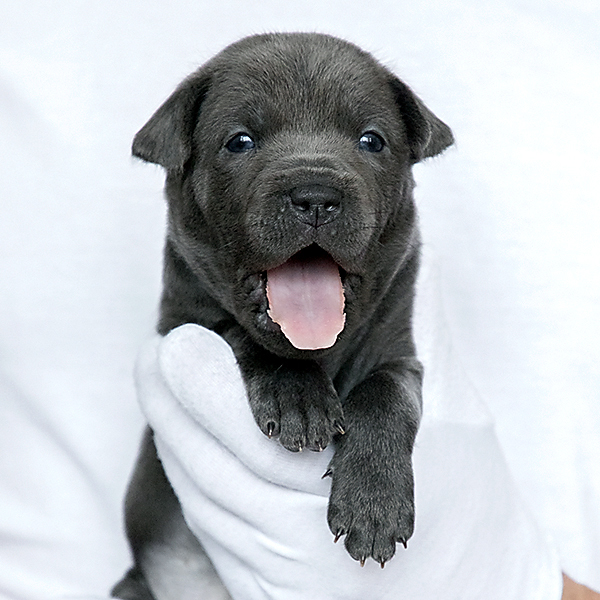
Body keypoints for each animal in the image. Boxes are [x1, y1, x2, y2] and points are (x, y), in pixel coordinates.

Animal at [112, 34, 452, 600]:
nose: (316, 196)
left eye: (372, 141)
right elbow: (238, 333)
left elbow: (388, 393)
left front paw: (374, 504)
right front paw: (298, 395)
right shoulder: (180, 325)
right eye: (240, 141)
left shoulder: (398, 352)